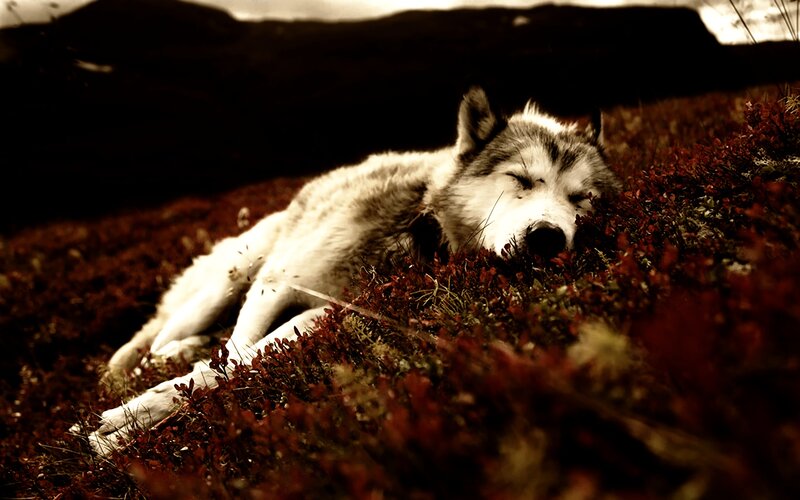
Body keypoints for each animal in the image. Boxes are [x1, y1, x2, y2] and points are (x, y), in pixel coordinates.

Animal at [81, 87, 620, 455]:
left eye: (582, 199)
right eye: (521, 180)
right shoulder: (275, 285)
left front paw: (134, 422)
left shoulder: (329, 314)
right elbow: (229, 357)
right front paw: (136, 415)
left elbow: (235, 364)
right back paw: (151, 361)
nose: (548, 237)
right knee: (154, 340)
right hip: (233, 276)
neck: (419, 227)